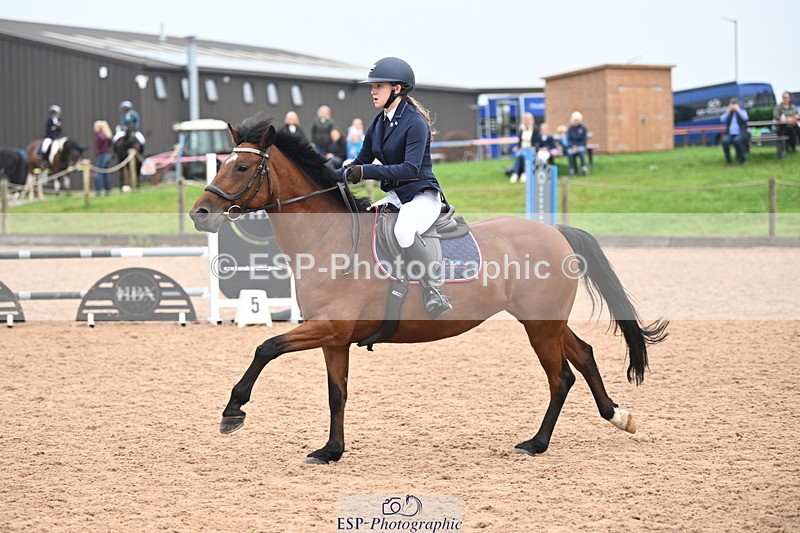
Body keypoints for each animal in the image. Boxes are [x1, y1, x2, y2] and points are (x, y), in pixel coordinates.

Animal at [189, 116, 668, 464]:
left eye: (242, 167)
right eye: (221, 164)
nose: (200, 213)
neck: (329, 239)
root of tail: (554, 232)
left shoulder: (329, 328)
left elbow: (265, 347)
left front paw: (233, 411)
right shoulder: (334, 338)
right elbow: (336, 394)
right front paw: (331, 451)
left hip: (539, 326)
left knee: (560, 377)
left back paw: (537, 443)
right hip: (543, 321)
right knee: (583, 356)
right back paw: (618, 416)